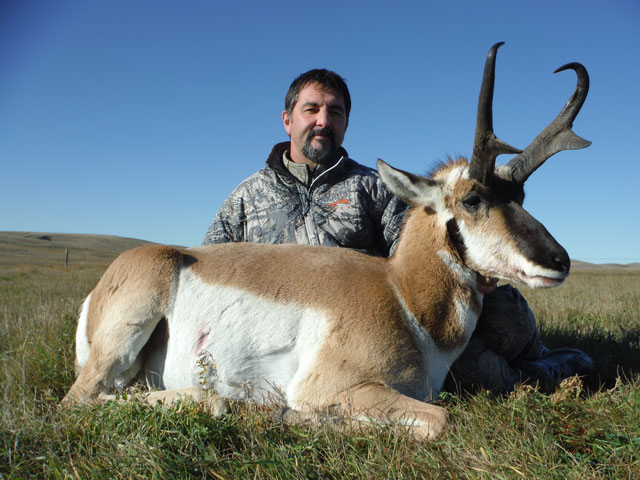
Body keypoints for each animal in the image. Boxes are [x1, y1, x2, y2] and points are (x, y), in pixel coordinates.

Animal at [63, 43, 592, 440]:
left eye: (520, 195)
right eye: (473, 198)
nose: (558, 260)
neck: (403, 294)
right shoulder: (335, 387)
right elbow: (441, 420)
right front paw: (287, 415)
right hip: (126, 331)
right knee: (81, 400)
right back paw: (218, 403)